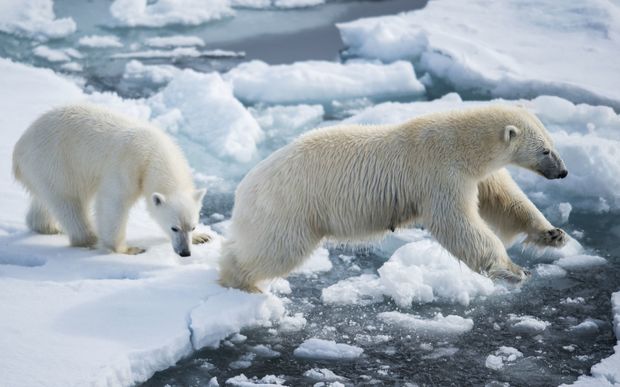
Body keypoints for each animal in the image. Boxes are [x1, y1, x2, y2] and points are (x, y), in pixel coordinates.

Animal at [11, 105, 211, 258]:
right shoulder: (127, 166)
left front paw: (202, 237)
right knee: (70, 202)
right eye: (174, 228)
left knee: (45, 201)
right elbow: (113, 203)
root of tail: (19, 147)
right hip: (55, 162)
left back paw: (48, 227)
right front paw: (127, 249)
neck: (154, 152)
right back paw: (89, 239)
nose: (185, 253)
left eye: (192, 226)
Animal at [220, 104, 568, 292]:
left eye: (552, 143)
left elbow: (506, 201)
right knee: (277, 248)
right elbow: (458, 223)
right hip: (289, 205)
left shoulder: (477, 175)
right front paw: (514, 270)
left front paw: (553, 234)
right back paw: (240, 281)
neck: (461, 144)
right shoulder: (439, 174)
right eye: (545, 150)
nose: (563, 172)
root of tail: (244, 186)